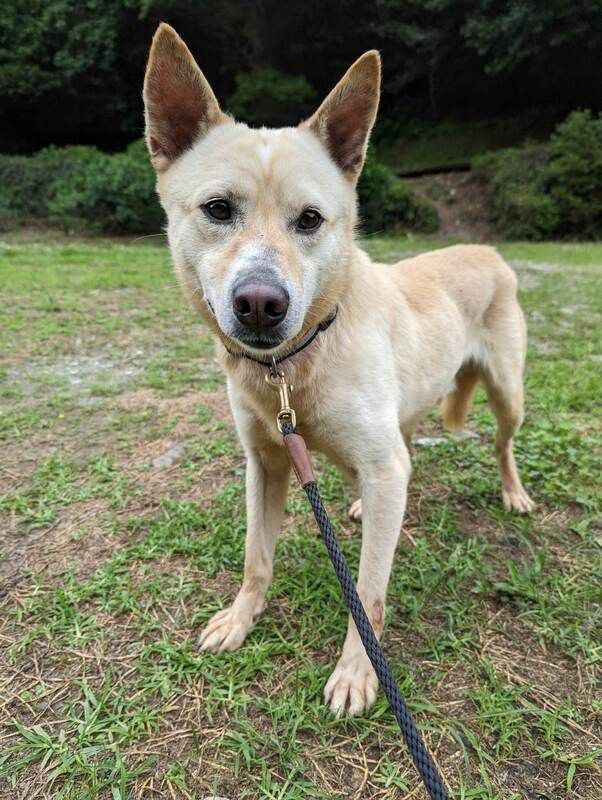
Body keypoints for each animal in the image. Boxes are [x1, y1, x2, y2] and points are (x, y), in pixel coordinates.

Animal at [143, 25, 532, 716]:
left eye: (311, 219)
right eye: (217, 209)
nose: (261, 304)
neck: (290, 370)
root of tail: (485, 248)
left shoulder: (380, 470)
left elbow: (368, 596)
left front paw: (357, 671)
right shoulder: (265, 464)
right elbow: (257, 558)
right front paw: (240, 619)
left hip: (507, 393)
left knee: (500, 444)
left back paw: (511, 492)